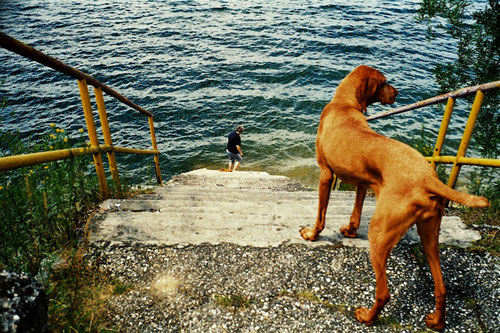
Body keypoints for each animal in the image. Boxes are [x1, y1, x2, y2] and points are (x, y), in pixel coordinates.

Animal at [300, 65, 488, 330]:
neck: (345, 104)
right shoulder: (363, 182)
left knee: (384, 293)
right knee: (441, 286)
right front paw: (350, 230)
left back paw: (367, 317)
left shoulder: (326, 174)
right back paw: (436, 320)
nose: (398, 93)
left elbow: (321, 214)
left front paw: (312, 235)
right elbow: (356, 211)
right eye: (384, 82)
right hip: (429, 234)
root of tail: (427, 178)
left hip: (380, 233)